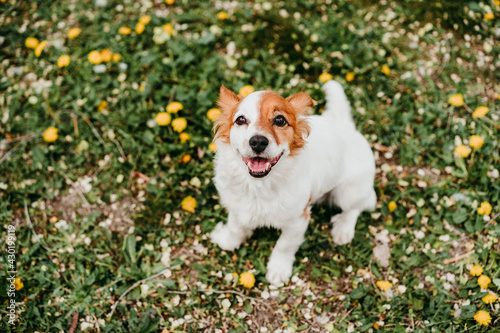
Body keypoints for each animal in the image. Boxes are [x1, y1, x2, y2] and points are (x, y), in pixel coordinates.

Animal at [210, 79, 376, 284]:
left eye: (279, 120)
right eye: (240, 120)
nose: (258, 142)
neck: (260, 185)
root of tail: (346, 127)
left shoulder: (298, 220)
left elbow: (284, 245)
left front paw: (278, 269)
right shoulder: (236, 205)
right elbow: (235, 226)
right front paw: (228, 240)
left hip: (347, 193)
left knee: (360, 205)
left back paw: (343, 229)